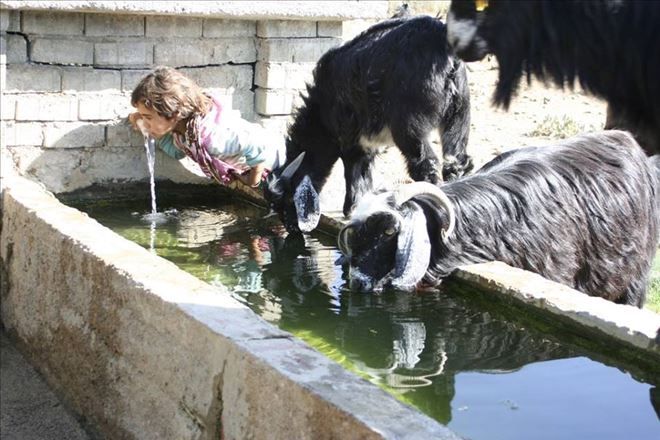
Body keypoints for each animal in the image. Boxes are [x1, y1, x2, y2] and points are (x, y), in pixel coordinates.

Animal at [264, 14, 474, 234]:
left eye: (287, 198)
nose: (291, 228)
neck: (321, 110)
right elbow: (365, 173)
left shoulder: (350, 140)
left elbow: (354, 172)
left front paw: (351, 208)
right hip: (458, 114)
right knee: (456, 161)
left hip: (409, 126)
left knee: (426, 163)